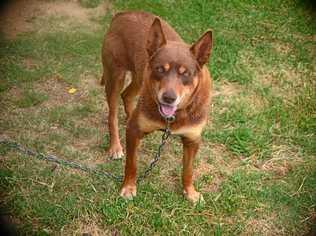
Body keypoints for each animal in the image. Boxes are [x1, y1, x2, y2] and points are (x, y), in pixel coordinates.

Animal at [101, 11, 214, 203]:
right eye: (161, 69)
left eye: (186, 74)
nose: (168, 98)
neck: (175, 116)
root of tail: (122, 14)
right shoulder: (133, 132)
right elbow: (131, 164)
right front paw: (128, 187)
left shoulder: (192, 140)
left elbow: (188, 170)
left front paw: (190, 192)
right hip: (116, 76)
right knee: (113, 114)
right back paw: (115, 146)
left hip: (140, 77)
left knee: (127, 95)